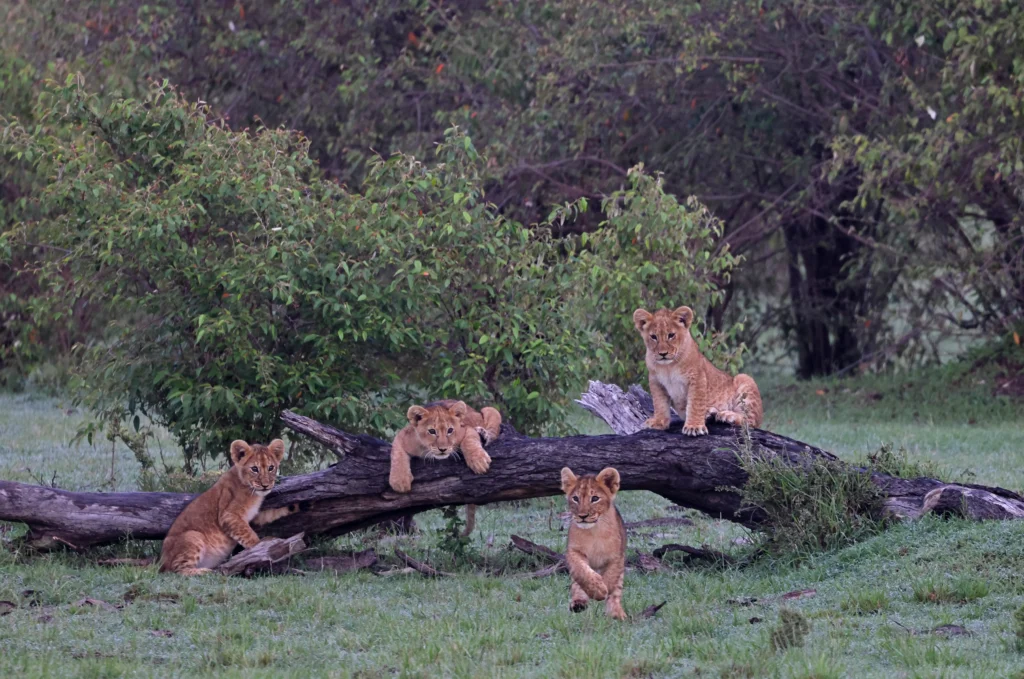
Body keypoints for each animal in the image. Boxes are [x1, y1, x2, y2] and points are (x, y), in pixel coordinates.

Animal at [159, 439, 303, 575]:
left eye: (271, 467)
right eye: (254, 469)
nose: (265, 485)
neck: (252, 492)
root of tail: (162, 560)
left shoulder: (254, 515)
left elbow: (272, 513)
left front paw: (298, 506)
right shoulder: (229, 515)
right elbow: (250, 536)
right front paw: (261, 550)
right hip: (192, 536)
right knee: (175, 570)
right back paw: (205, 572)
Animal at [561, 466, 627, 620]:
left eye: (595, 498)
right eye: (576, 498)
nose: (583, 516)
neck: (594, 531)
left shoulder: (617, 556)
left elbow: (611, 578)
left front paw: (603, 591)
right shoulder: (574, 551)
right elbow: (581, 571)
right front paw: (597, 590)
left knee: (616, 591)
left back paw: (617, 613)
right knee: (577, 585)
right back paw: (578, 604)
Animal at [633, 306, 763, 436]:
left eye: (671, 335)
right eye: (653, 337)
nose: (663, 354)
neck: (668, 367)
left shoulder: (697, 378)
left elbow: (695, 403)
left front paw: (694, 427)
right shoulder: (655, 381)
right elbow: (659, 403)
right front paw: (659, 422)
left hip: (745, 379)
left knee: (750, 421)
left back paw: (726, 415)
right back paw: (711, 413)